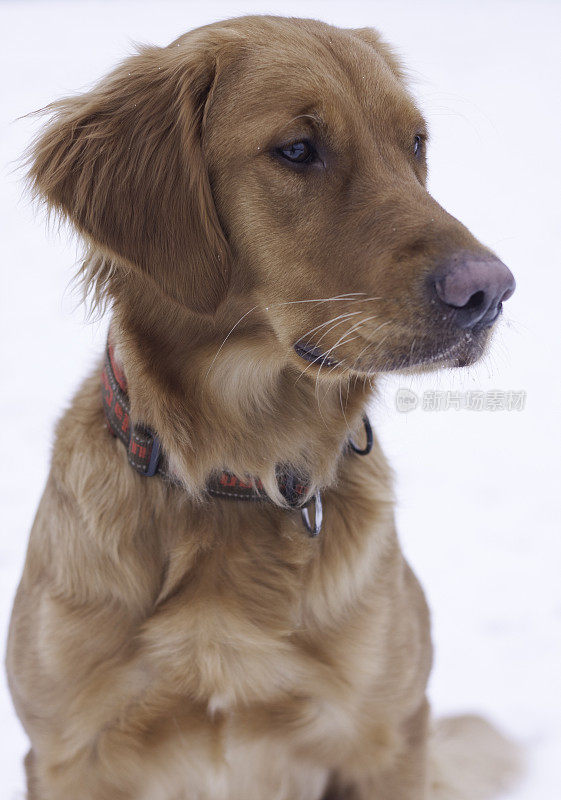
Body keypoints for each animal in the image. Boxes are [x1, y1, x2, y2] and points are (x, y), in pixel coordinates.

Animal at [6, 14, 520, 800]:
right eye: (298, 150)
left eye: (414, 144)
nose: (489, 292)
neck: (238, 470)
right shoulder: (68, 754)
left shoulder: (388, 737)